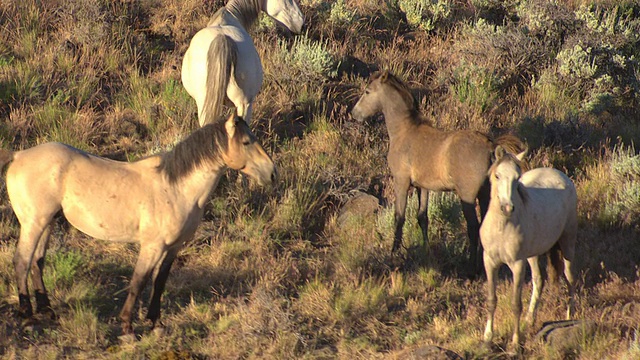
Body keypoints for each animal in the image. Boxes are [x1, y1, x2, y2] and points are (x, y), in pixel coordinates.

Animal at [0, 114, 276, 338]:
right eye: (246, 142)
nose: (272, 173)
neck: (176, 188)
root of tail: (18, 156)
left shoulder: (173, 247)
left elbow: (159, 281)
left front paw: (156, 323)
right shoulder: (152, 246)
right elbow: (138, 281)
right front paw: (128, 328)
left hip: (47, 223)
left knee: (37, 262)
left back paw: (47, 311)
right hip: (33, 224)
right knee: (22, 261)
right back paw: (28, 317)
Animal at [350, 70, 524, 274]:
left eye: (367, 91)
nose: (354, 113)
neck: (404, 132)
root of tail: (491, 146)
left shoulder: (401, 182)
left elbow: (399, 218)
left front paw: (393, 254)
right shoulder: (422, 187)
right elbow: (422, 217)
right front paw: (426, 252)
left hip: (467, 196)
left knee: (473, 227)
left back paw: (471, 268)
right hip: (485, 195)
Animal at [480, 146, 580, 352]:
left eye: (517, 177)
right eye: (497, 175)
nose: (507, 208)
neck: (502, 226)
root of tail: (561, 175)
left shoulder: (517, 264)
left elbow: (515, 304)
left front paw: (515, 343)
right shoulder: (489, 262)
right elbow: (491, 300)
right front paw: (487, 340)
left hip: (567, 242)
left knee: (570, 277)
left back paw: (569, 317)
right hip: (533, 255)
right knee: (539, 280)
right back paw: (530, 319)